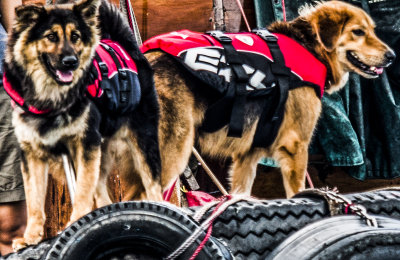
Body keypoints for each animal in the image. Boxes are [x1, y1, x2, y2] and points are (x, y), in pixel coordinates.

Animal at [3, 0, 162, 250]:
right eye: (51, 36)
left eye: (75, 36)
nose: (71, 62)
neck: (51, 99)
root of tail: (126, 47)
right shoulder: (32, 154)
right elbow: (34, 201)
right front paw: (31, 237)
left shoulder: (84, 144)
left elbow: (82, 191)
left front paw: (76, 222)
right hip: (101, 151)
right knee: (104, 196)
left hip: (142, 143)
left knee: (154, 188)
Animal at [142, 1, 396, 198]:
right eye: (358, 32)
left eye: (372, 30)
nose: (392, 56)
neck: (310, 46)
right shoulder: (296, 147)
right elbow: (297, 193)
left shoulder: (246, 156)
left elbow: (239, 195)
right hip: (173, 152)